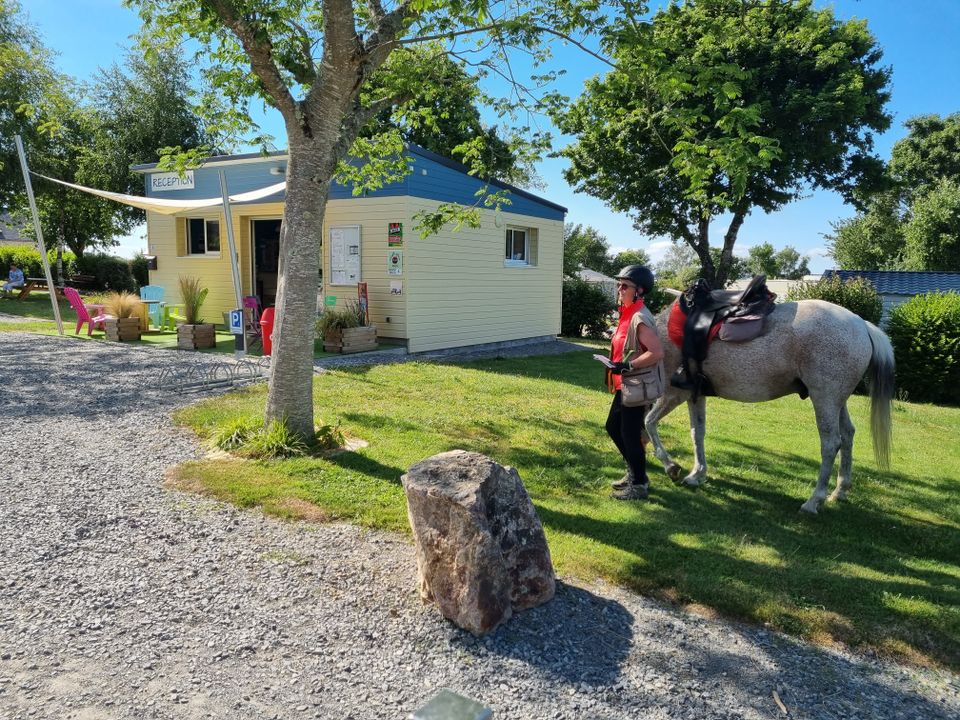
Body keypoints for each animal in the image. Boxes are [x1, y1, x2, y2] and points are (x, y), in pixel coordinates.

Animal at [640, 298, 896, 512]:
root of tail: (861, 325)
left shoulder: (675, 393)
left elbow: (649, 422)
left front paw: (671, 467)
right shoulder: (695, 395)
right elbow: (697, 433)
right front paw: (697, 474)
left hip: (825, 398)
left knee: (831, 443)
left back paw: (814, 500)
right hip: (837, 401)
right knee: (848, 434)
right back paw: (840, 491)